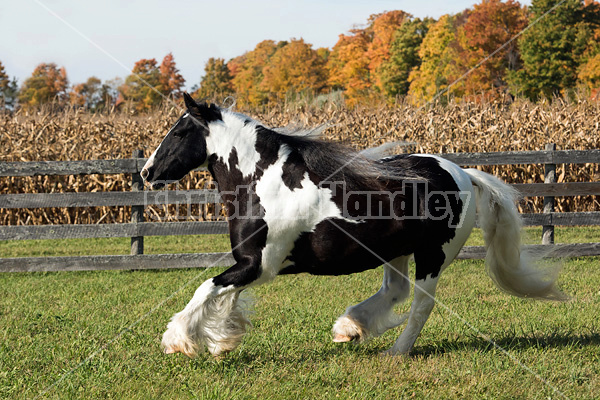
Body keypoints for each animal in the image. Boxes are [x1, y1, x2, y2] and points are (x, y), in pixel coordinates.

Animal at [142, 93, 568, 356]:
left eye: (179, 131)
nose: (147, 173)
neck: (263, 182)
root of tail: (462, 173)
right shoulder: (248, 265)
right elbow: (223, 299)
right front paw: (220, 343)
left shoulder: (258, 265)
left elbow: (205, 289)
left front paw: (177, 341)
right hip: (396, 252)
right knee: (395, 292)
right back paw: (349, 328)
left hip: (433, 256)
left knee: (420, 304)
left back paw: (395, 352)